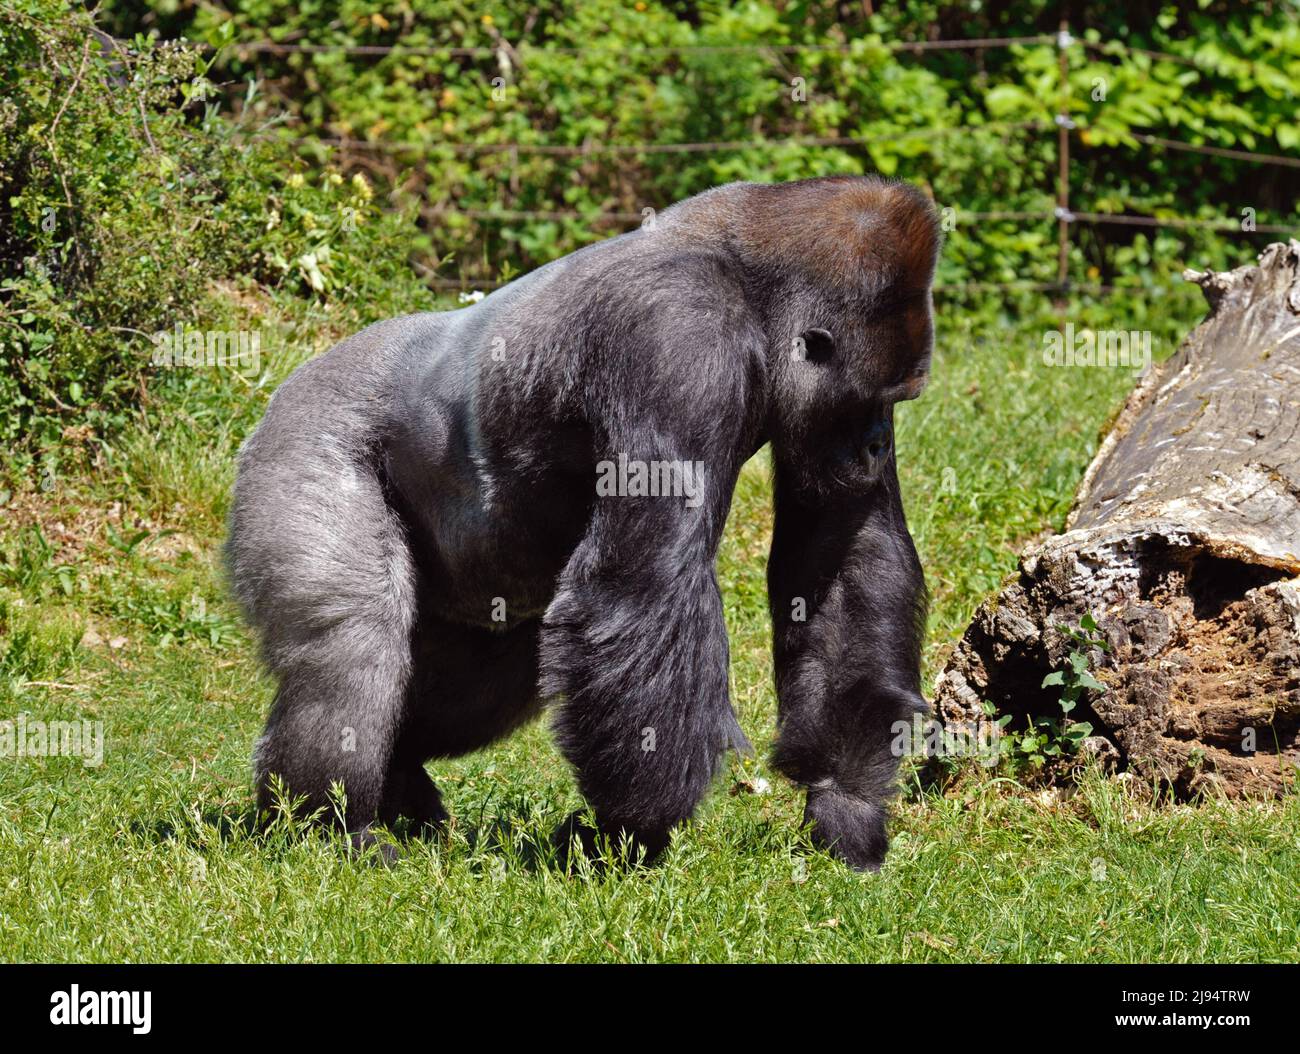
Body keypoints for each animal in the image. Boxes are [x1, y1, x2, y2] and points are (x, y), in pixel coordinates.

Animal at [228, 176, 941, 868]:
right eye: (868, 403)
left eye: (893, 404)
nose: (877, 444)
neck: (754, 292)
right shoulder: (677, 335)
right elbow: (644, 584)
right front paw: (635, 830)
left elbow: (841, 561)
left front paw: (844, 802)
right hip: (306, 433)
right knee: (355, 640)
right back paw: (328, 822)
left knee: (495, 665)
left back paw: (397, 778)